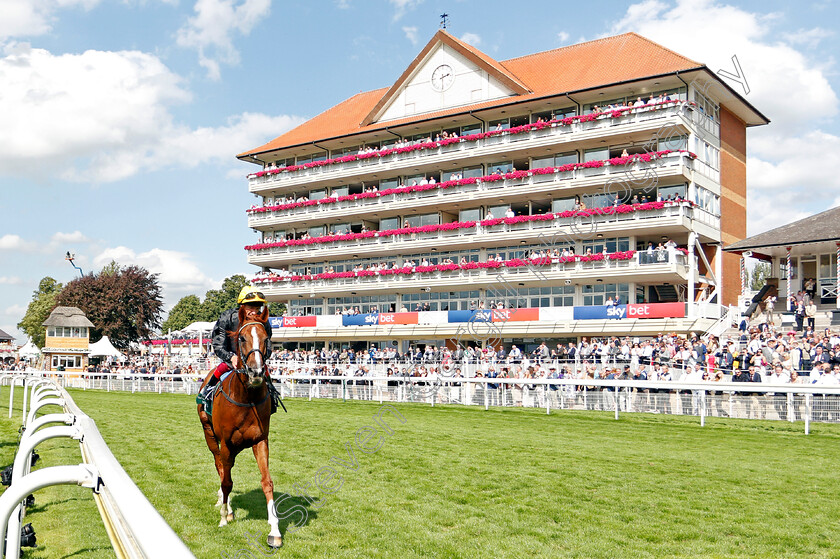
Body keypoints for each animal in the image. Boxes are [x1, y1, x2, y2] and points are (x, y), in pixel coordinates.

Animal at [197, 306, 282, 548]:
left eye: (266, 338)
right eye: (242, 338)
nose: (256, 372)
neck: (247, 398)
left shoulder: (260, 440)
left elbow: (267, 482)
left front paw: (275, 531)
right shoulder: (225, 442)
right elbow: (226, 481)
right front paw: (224, 517)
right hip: (210, 435)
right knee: (220, 467)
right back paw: (226, 507)